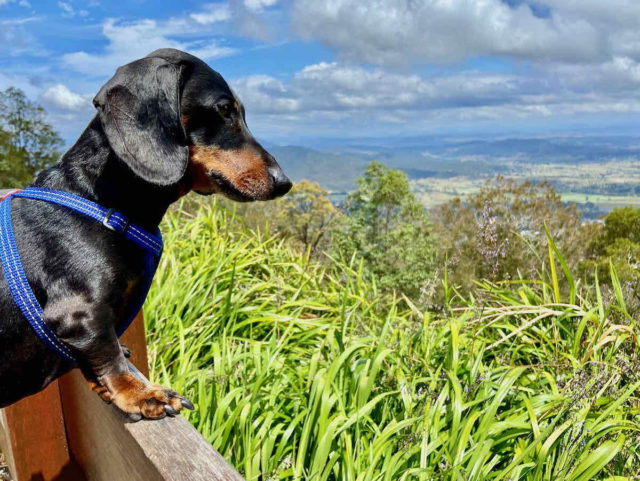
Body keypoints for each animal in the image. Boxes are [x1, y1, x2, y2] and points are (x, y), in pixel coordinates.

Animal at [0, 47, 292, 416]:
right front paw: (140, 393)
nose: (284, 182)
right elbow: (107, 353)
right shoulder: (79, 313)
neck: (97, 198)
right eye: (224, 109)